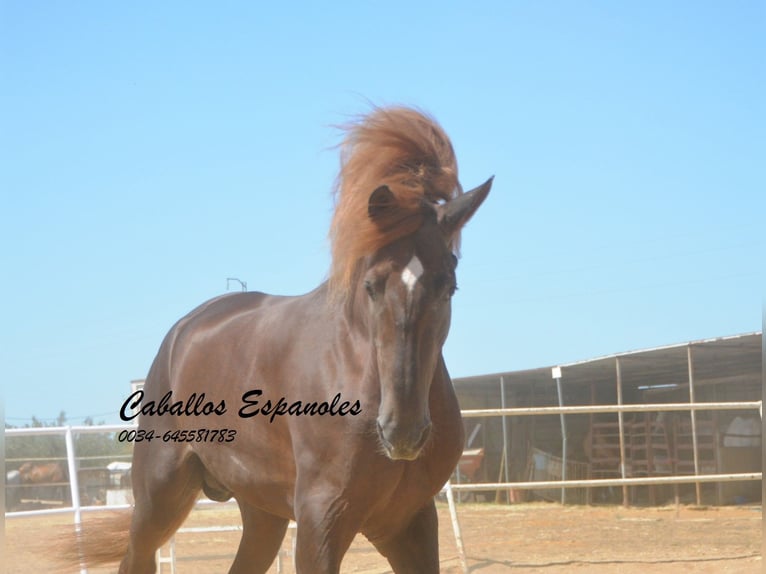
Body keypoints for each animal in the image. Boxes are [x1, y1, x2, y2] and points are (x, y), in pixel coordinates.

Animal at [69, 106, 496, 572]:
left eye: (448, 286)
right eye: (371, 285)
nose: (402, 432)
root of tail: (183, 330)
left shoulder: (410, 523)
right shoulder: (320, 522)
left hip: (262, 512)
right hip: (158, 498)